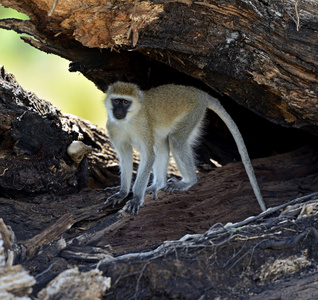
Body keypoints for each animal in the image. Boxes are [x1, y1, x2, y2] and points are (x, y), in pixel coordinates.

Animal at [105, 81, 266, 214]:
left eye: (125, 102)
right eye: (116, 101)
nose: (118, 111)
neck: (128, 120)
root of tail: (198, 92)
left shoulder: (143, 127)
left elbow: (149, 155)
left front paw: (137, 198)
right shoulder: (113, 128)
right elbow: (125, 155)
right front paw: (123, 192)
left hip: (193, 113)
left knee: (176, 141)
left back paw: (189, 181)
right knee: (162, 144)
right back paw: (159, 184)